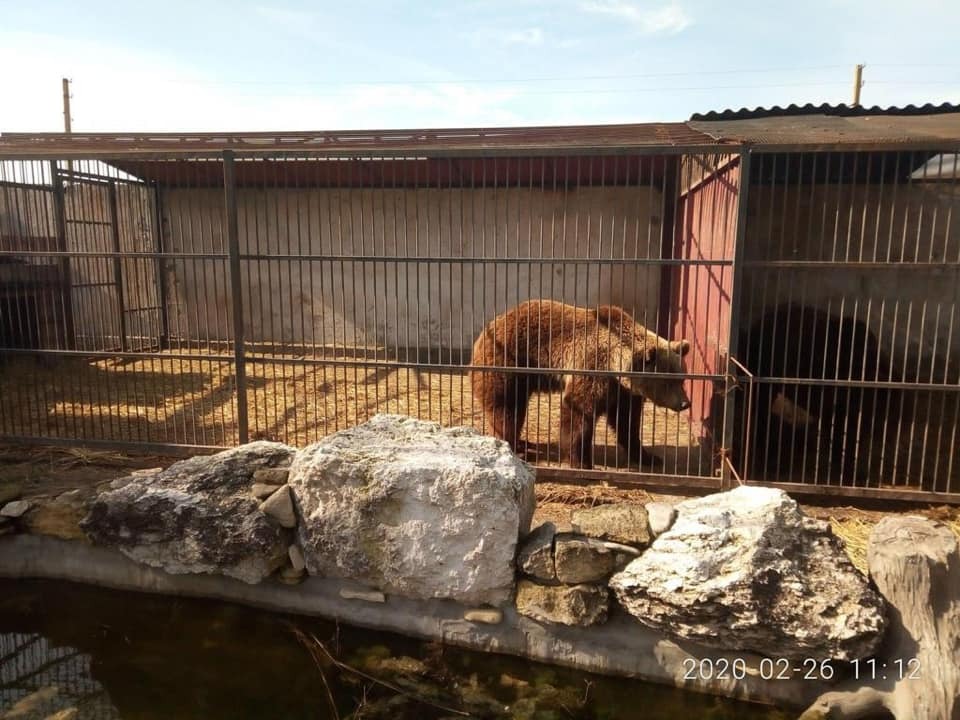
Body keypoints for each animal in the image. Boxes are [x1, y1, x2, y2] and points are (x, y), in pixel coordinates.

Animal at [470, 300, 688, 470]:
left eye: (682, 378)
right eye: (668, 381)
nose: (686, 403)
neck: (617, 364)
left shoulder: (623, 391)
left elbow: (627, 422)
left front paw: (648, 457)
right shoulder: (592, 368)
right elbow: (578, 413)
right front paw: (581, 461)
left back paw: (523, 443)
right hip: (507, 364)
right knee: (507, 409)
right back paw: (514, 448)